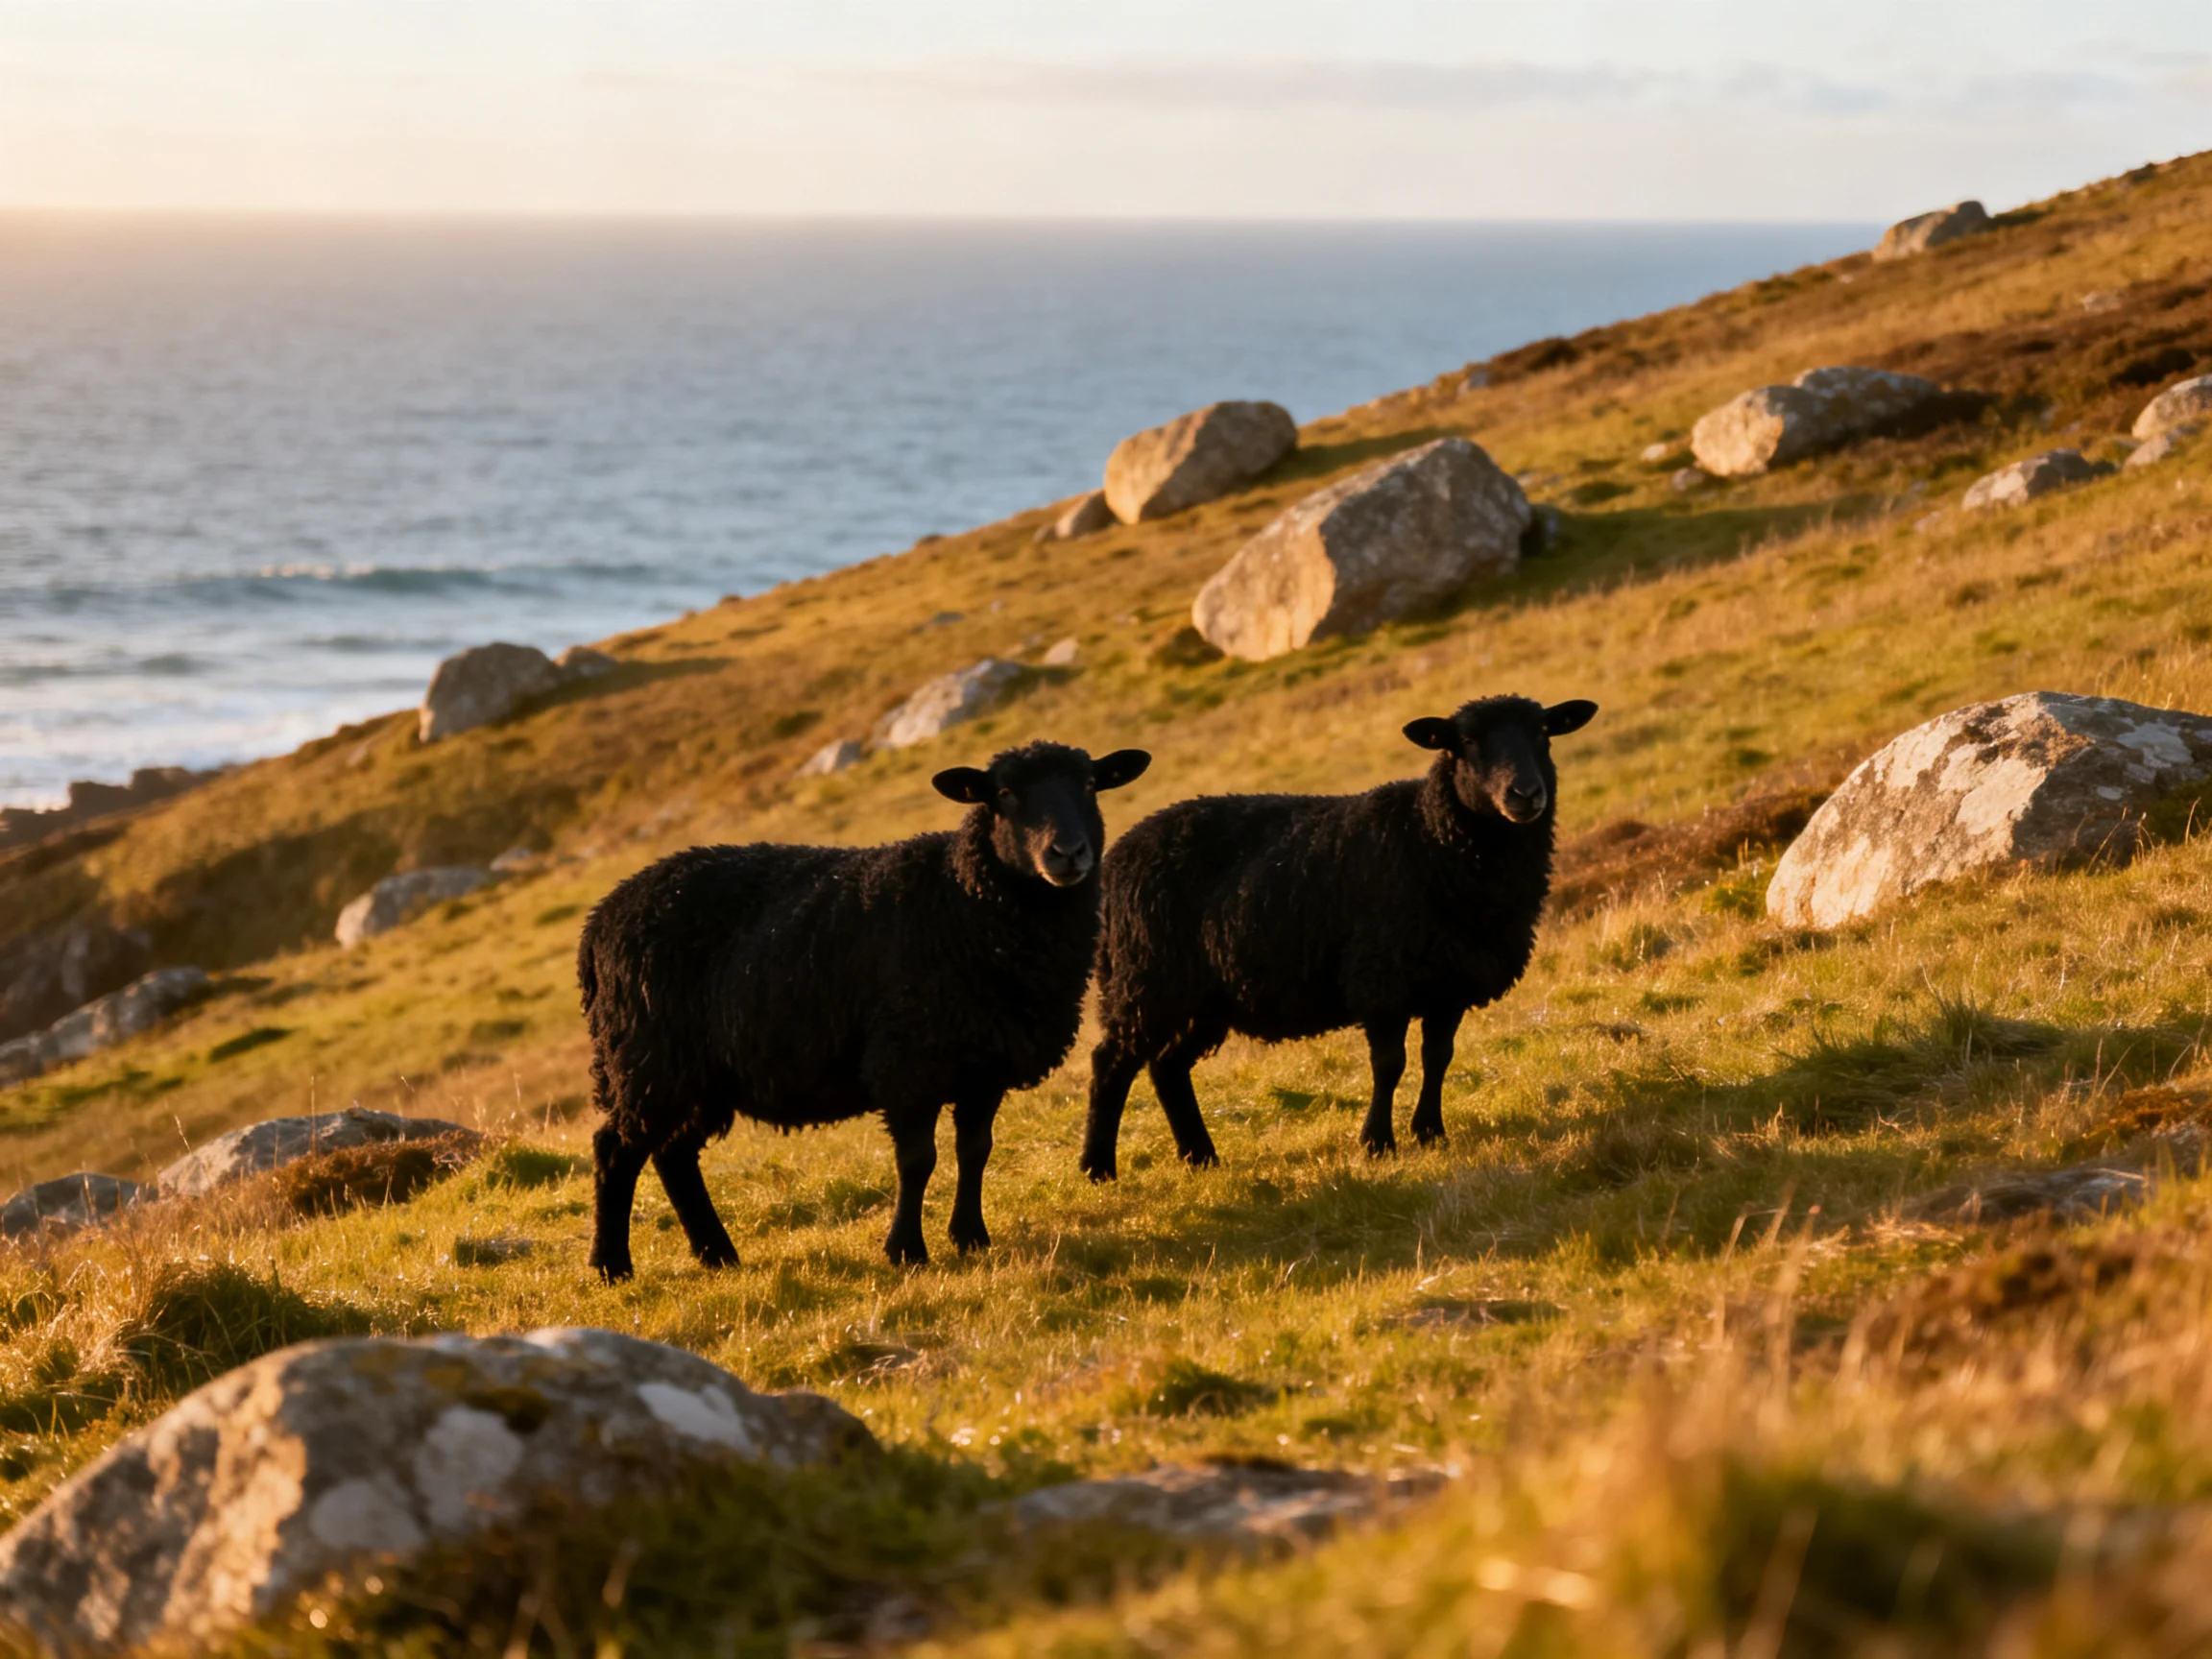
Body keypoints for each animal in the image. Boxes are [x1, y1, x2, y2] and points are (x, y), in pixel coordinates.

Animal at [578, 740, 1150, 1280]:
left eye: (1091, 785)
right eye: (1005, 794)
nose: (1068, 853)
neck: (960, 902)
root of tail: (600, 918)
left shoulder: (985, 1064)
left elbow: (975, 1149)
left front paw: (970, 1237)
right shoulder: (908, 1060)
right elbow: (918, 1161)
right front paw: (906, 1250)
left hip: (699, 1076)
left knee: (673, 1154)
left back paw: (717, 1254)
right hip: (648, 1057)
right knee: (615, 1150)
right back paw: (612, 1266)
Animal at [1080, 695, 1596, 1178]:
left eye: (1543, 732)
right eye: (1466, 741)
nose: (1524, 794)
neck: (1429, 838)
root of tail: (1118, 856)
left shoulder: (1449, 984)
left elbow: (1438, 1058)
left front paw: (1430, 1133)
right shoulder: (1382, 979)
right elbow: (1390, 1064)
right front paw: (1377, 1143)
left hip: (1204, 996)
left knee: (1167, 1066)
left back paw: (1201, 1157)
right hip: (1146, 977)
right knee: (1111, 1063)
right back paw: (1098, 1167)